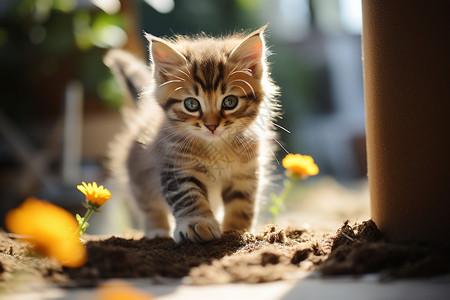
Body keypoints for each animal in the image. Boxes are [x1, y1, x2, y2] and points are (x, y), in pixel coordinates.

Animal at [106, 24, 280, 243]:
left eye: (229, 102)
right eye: (191, 104)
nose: (211, 126)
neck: (215, 147)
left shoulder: (246, 172)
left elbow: (243, 204)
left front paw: (238, 232)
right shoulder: (176, 167)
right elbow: (189, 197)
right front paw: (198, 224)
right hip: (139, 178)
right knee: (149, 207)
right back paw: (157, 231)